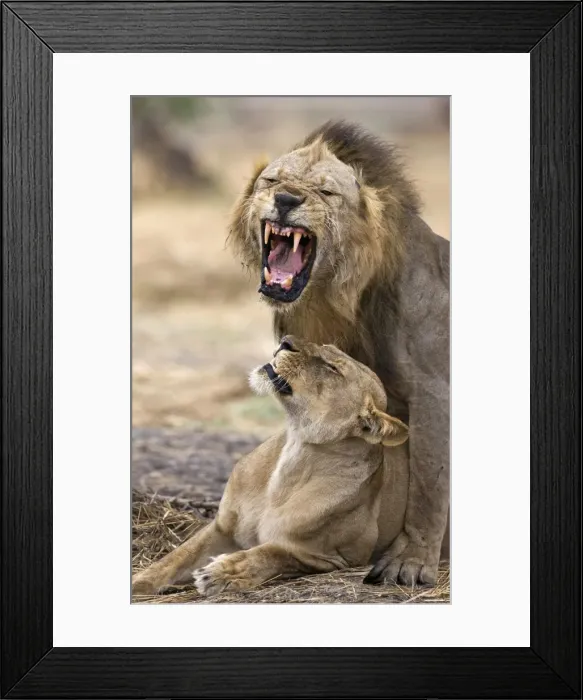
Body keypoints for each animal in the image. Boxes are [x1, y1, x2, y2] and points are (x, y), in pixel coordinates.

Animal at [132, 337, 415, 597]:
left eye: (332, 368)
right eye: (326, 346)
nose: (286, 341)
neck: (293, 455)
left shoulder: (335, 556)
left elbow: (272, 554)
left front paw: (221, 573)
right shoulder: (223, 527)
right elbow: (175, 558)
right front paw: (138, 583)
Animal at [228, 121, 450, 585]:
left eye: (326, 192)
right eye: (271, 181)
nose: (287, 199)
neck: (342, 299)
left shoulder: (435, 389)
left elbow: (428, 481)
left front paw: (411, 562)